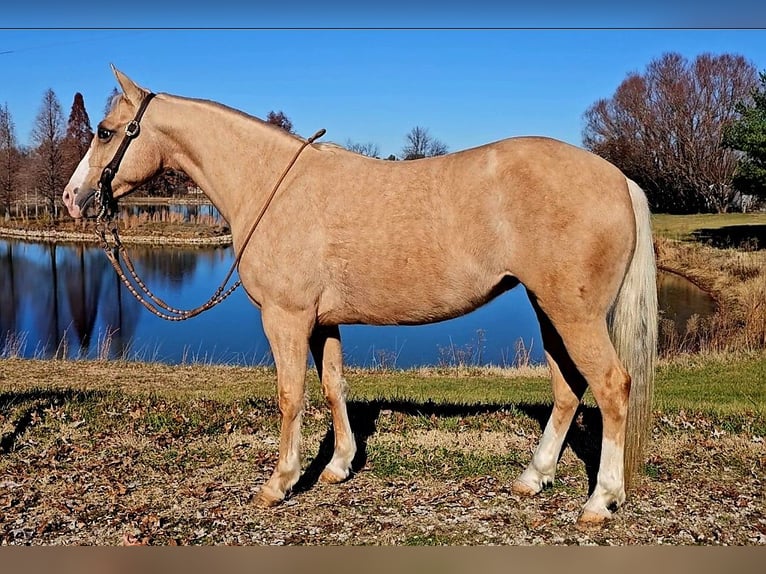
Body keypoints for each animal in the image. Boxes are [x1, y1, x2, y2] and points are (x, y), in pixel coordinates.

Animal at [63, 66, 656, 528]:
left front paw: (278, 483)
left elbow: (291, 395)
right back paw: (533, 478)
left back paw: (600, 501)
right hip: (549, 308)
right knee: (568, 387)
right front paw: (337, 467)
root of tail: (618, 178)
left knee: (611, 386)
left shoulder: (286, 318)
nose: (71, 198)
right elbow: (333, 388)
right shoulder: (322, 322)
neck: (271, 185)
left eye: (106, 131)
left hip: (574, 314)